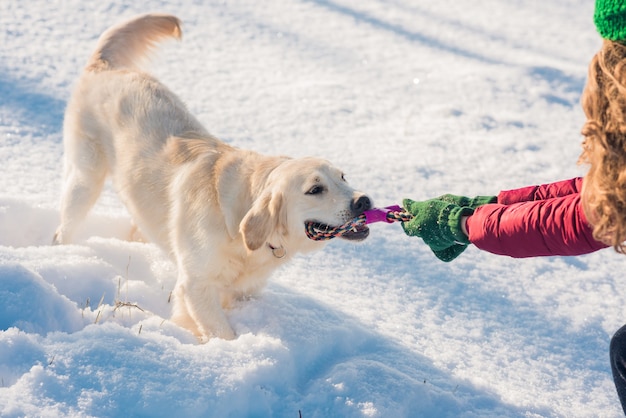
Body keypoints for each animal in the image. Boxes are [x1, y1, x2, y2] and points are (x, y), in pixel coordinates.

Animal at [52, 13, 370, 342]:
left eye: (343, 177)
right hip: (85, 179)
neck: (241, 228)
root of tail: (105, 67)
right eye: (315, 189)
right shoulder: (196, 285)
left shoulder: (245, 290)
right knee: (65, 226)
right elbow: (221, 331)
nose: (363, 201)